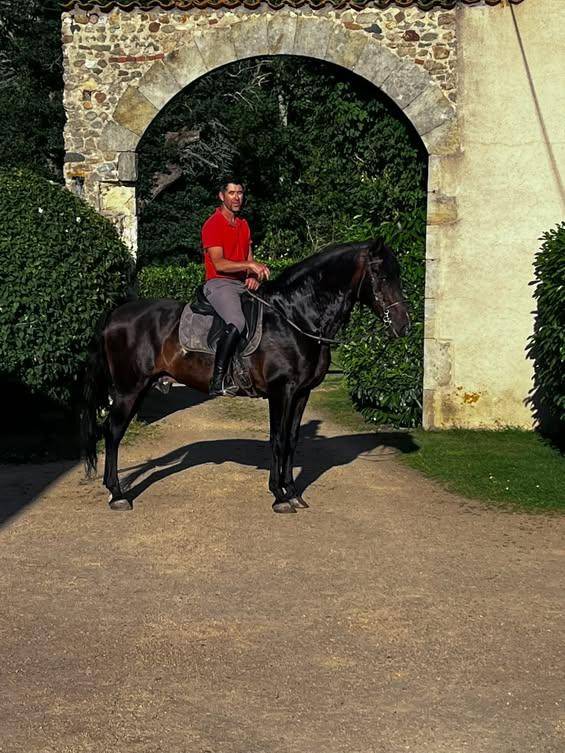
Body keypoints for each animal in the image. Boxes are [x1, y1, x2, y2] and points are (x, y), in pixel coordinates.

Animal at [81, 239, 411, 513]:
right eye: (381, 275)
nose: (403, 325)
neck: (295, 319)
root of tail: (115, 314)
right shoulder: (281, 392)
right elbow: (277, 440)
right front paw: (279, 495)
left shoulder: (301, 393)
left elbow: (291, 441)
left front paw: (293, 492)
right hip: (129, 390)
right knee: (112, 432)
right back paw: (117, 494)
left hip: (139, 388)